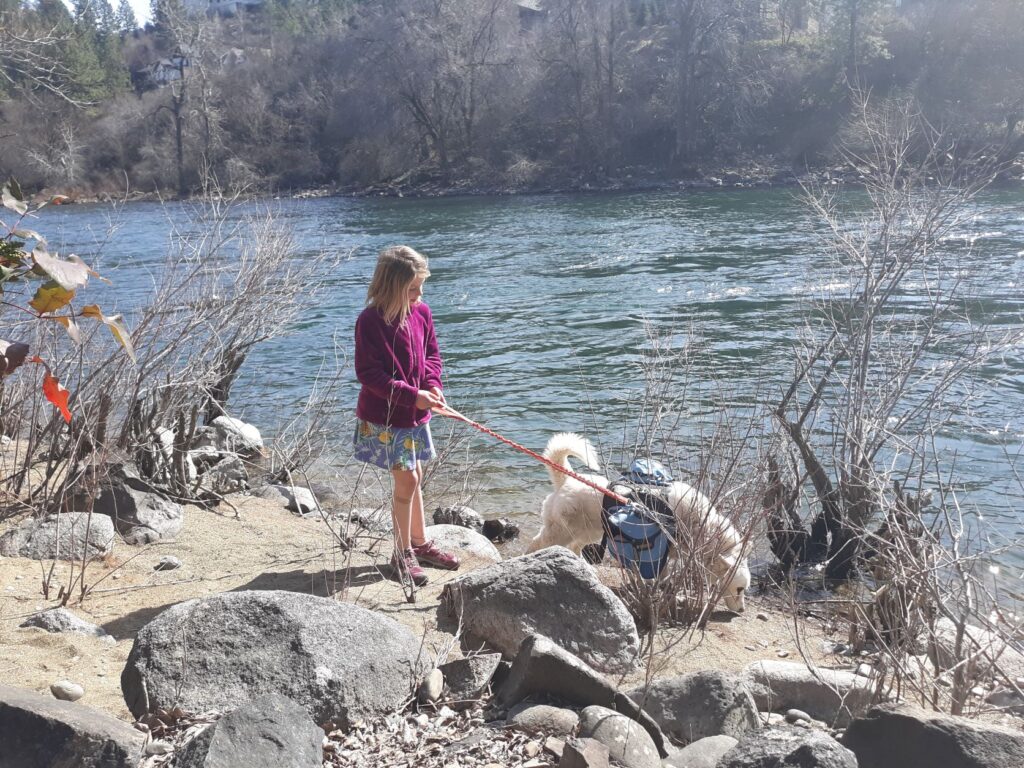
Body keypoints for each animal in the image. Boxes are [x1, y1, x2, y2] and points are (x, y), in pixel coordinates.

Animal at [528, 434, 753, 614]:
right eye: (740, 589)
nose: (742, 611)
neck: (703, 528)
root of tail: (567, 480)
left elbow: (665, 577)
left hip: (589, 531)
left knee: (575, 547)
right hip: (562, 531)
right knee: (537, 543)